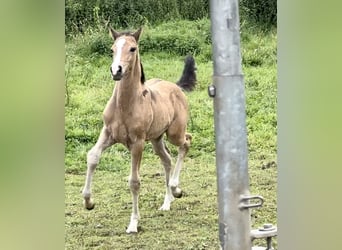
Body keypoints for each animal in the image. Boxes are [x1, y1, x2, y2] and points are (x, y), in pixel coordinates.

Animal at [81, 26, 196, 232]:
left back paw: (176, 188)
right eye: (112, 49)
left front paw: (133, 223)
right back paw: (167, 202)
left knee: (187, 141)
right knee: (167, 159)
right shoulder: (107, 133)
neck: (125, 105)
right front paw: (88, 202)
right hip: (157, 138)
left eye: (133, 48)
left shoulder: (138, 143)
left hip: (174, 133)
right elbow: (92, 157)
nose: (116, 70)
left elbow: (134, 181)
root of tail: (176, 87)